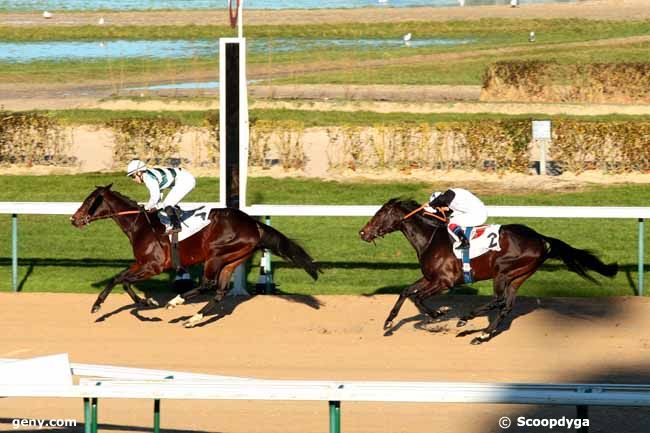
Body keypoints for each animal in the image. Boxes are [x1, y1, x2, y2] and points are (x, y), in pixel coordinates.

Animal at [70, 184, 318, 326]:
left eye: (89, 201)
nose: (74, 219)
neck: (140, 224)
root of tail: (253, 224)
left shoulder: (153, 265)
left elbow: (124, 280)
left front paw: (146, 302)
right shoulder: (141, 263)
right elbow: (118, 278)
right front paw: (100, 306)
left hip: (216, 254)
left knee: (208, 284)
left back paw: (176, 302)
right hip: (233, 259)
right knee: (220, 291)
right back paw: (193, 318)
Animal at [356, 199, 616, 344]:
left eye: (379, 214)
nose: (362, 233)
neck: (430, 238)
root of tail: (540, 238)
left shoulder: (444, 281)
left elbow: (418, 297)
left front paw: (438, 314)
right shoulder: (430, 277)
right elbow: (406, 291)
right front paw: (389, 322)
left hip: (503, 271)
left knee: (498, 300)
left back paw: (467, 319)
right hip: (519, 276)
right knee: (506, 306)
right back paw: (482, 335)